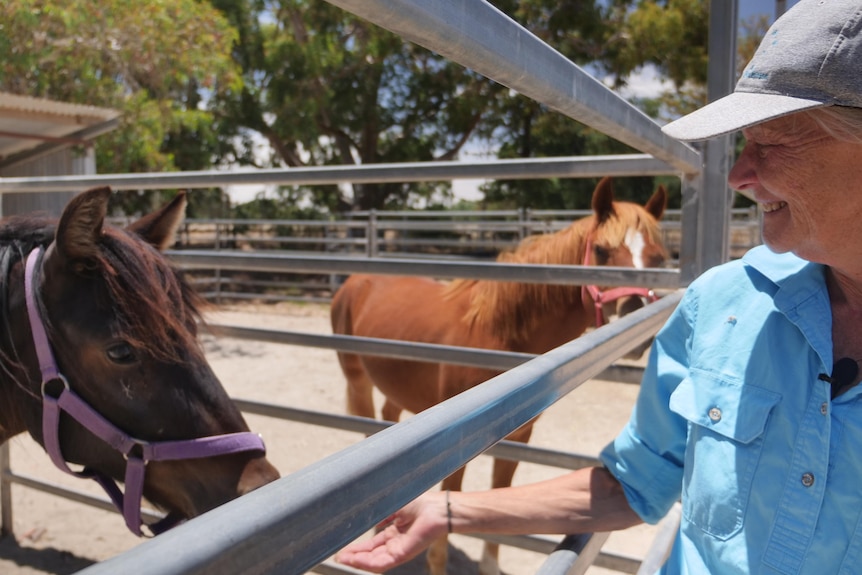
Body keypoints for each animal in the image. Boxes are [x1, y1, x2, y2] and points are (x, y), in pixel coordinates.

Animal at [330, 177, 668, 575]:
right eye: (601, 250)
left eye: (659, 259)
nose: (635, 313)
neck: (498, 333)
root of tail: (355, 280)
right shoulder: (452, 453)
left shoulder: (518, 439)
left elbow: (498, 495)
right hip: (357, 380)